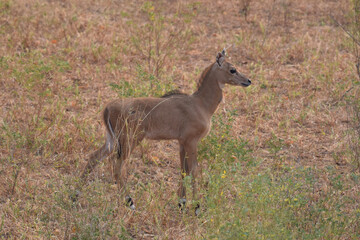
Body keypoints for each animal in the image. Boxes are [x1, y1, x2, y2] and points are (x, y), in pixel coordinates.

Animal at [80, 48, 252, 212]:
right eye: (232, 69)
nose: (248, 81)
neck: (201, 104)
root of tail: (108, 108)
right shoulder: (191, 141)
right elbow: (194, 170)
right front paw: (196, 207)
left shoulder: (182, 142)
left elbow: (184, 170)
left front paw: (182, 203)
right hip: (129, 140)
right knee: (116, 168)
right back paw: (130, 202)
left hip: (111, 140)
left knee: (94, 157)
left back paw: (76, 194)